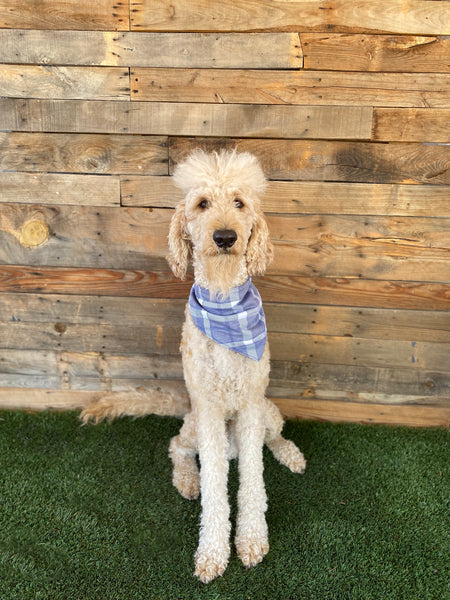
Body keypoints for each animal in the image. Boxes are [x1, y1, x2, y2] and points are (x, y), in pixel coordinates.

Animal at [80, 149, 306, 580]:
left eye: (239, 203)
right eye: (202, 204)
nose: (225, 237)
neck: (224, 303)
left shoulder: (251, 405)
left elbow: (253, 479)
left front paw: (251, 540)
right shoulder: (209, 409)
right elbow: (216, 485)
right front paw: (213, 552)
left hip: (267, 413)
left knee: (272, 438)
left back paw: (291, 455)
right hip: (194, 424)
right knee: (177, 448)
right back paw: (188, 481)